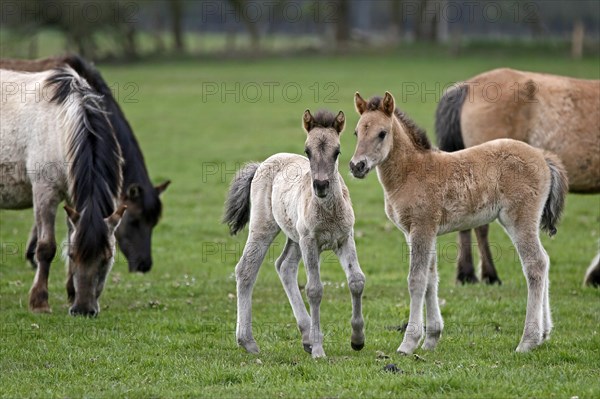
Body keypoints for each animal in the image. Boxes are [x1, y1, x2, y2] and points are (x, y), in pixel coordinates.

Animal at [0, 67, 125, 316]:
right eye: (72, 255)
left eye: (107, 257)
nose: (83, 310)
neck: (59, 125)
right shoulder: (44, 192)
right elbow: (46, 248)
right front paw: (39, 302)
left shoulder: (72, 198)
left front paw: (71, 293)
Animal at [224, 109, 366, 360]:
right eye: (307, 151)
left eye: (337, 151)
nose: (320, 185)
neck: (328, 211)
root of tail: (262, 163)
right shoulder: (310, 242)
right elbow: (314, 290)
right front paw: (319, 350)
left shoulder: (344, 238)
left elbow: (356, 281)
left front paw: (357, 340)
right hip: (265, 227)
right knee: (246, 269)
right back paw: (248, 341)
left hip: (295, 238)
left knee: (285, 266)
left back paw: (306, 336)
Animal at [350, 93, 564, 354]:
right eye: (356, 132)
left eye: (382, 133)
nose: (357, 166)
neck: (412, 171)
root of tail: (543, 157)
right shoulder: (418, 232)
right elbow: (431, 279)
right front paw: (431, 338)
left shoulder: (422, 227)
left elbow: (416, 280)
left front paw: (408, 343)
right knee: (545, 260)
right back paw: (544, 334)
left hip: (519, 219)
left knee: (535, 265)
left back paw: (528, 340)